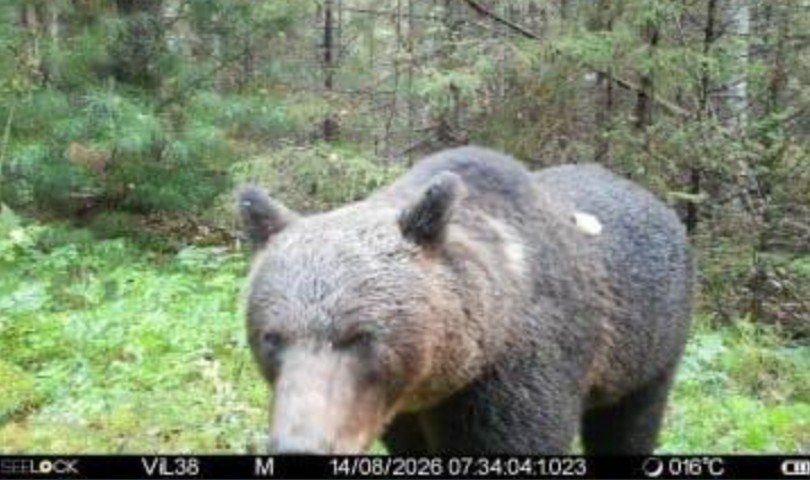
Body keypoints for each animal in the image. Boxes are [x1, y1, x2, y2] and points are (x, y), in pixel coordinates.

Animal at [238, 146, 693, 454]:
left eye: (361, 335)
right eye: (271, 337)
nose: (299, 448)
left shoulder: (520, 376)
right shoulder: (397, 411)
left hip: (649, 345)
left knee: (629, 426)